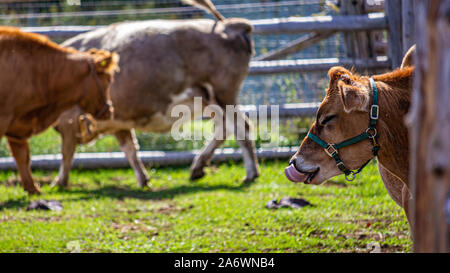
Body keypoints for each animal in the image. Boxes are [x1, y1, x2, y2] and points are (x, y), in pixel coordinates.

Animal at [0, 27, 118, 193]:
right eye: (108, 79)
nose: (110, 111)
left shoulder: (17, 125)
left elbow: (23, 156)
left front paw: (33, 189)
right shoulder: (4, 119)